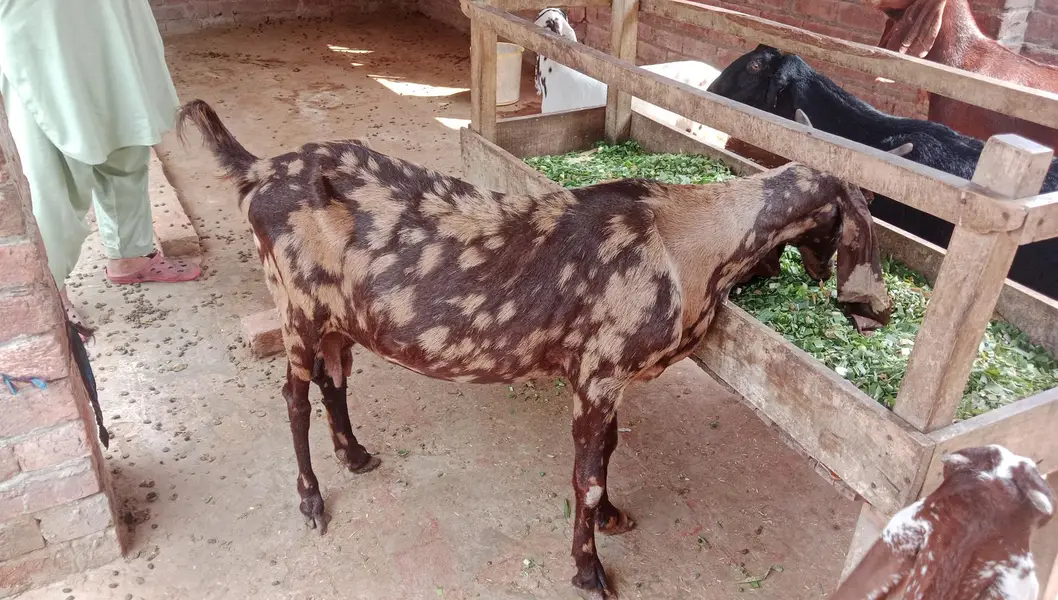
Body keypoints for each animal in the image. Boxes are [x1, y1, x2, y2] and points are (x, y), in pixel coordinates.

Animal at [178, 99, 895, 600]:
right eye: (863, 227)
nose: (882, 310)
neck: (686, 240)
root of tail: (258, 170)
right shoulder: (599, 369)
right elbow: (587, 473)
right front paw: (590, 570)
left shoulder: (607, 375)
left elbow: (610, 452)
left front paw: (613, 518)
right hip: (294, 304)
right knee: (293, 396)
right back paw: (312, 500)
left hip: (336, 316)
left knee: (334, 380)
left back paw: (355, 456)